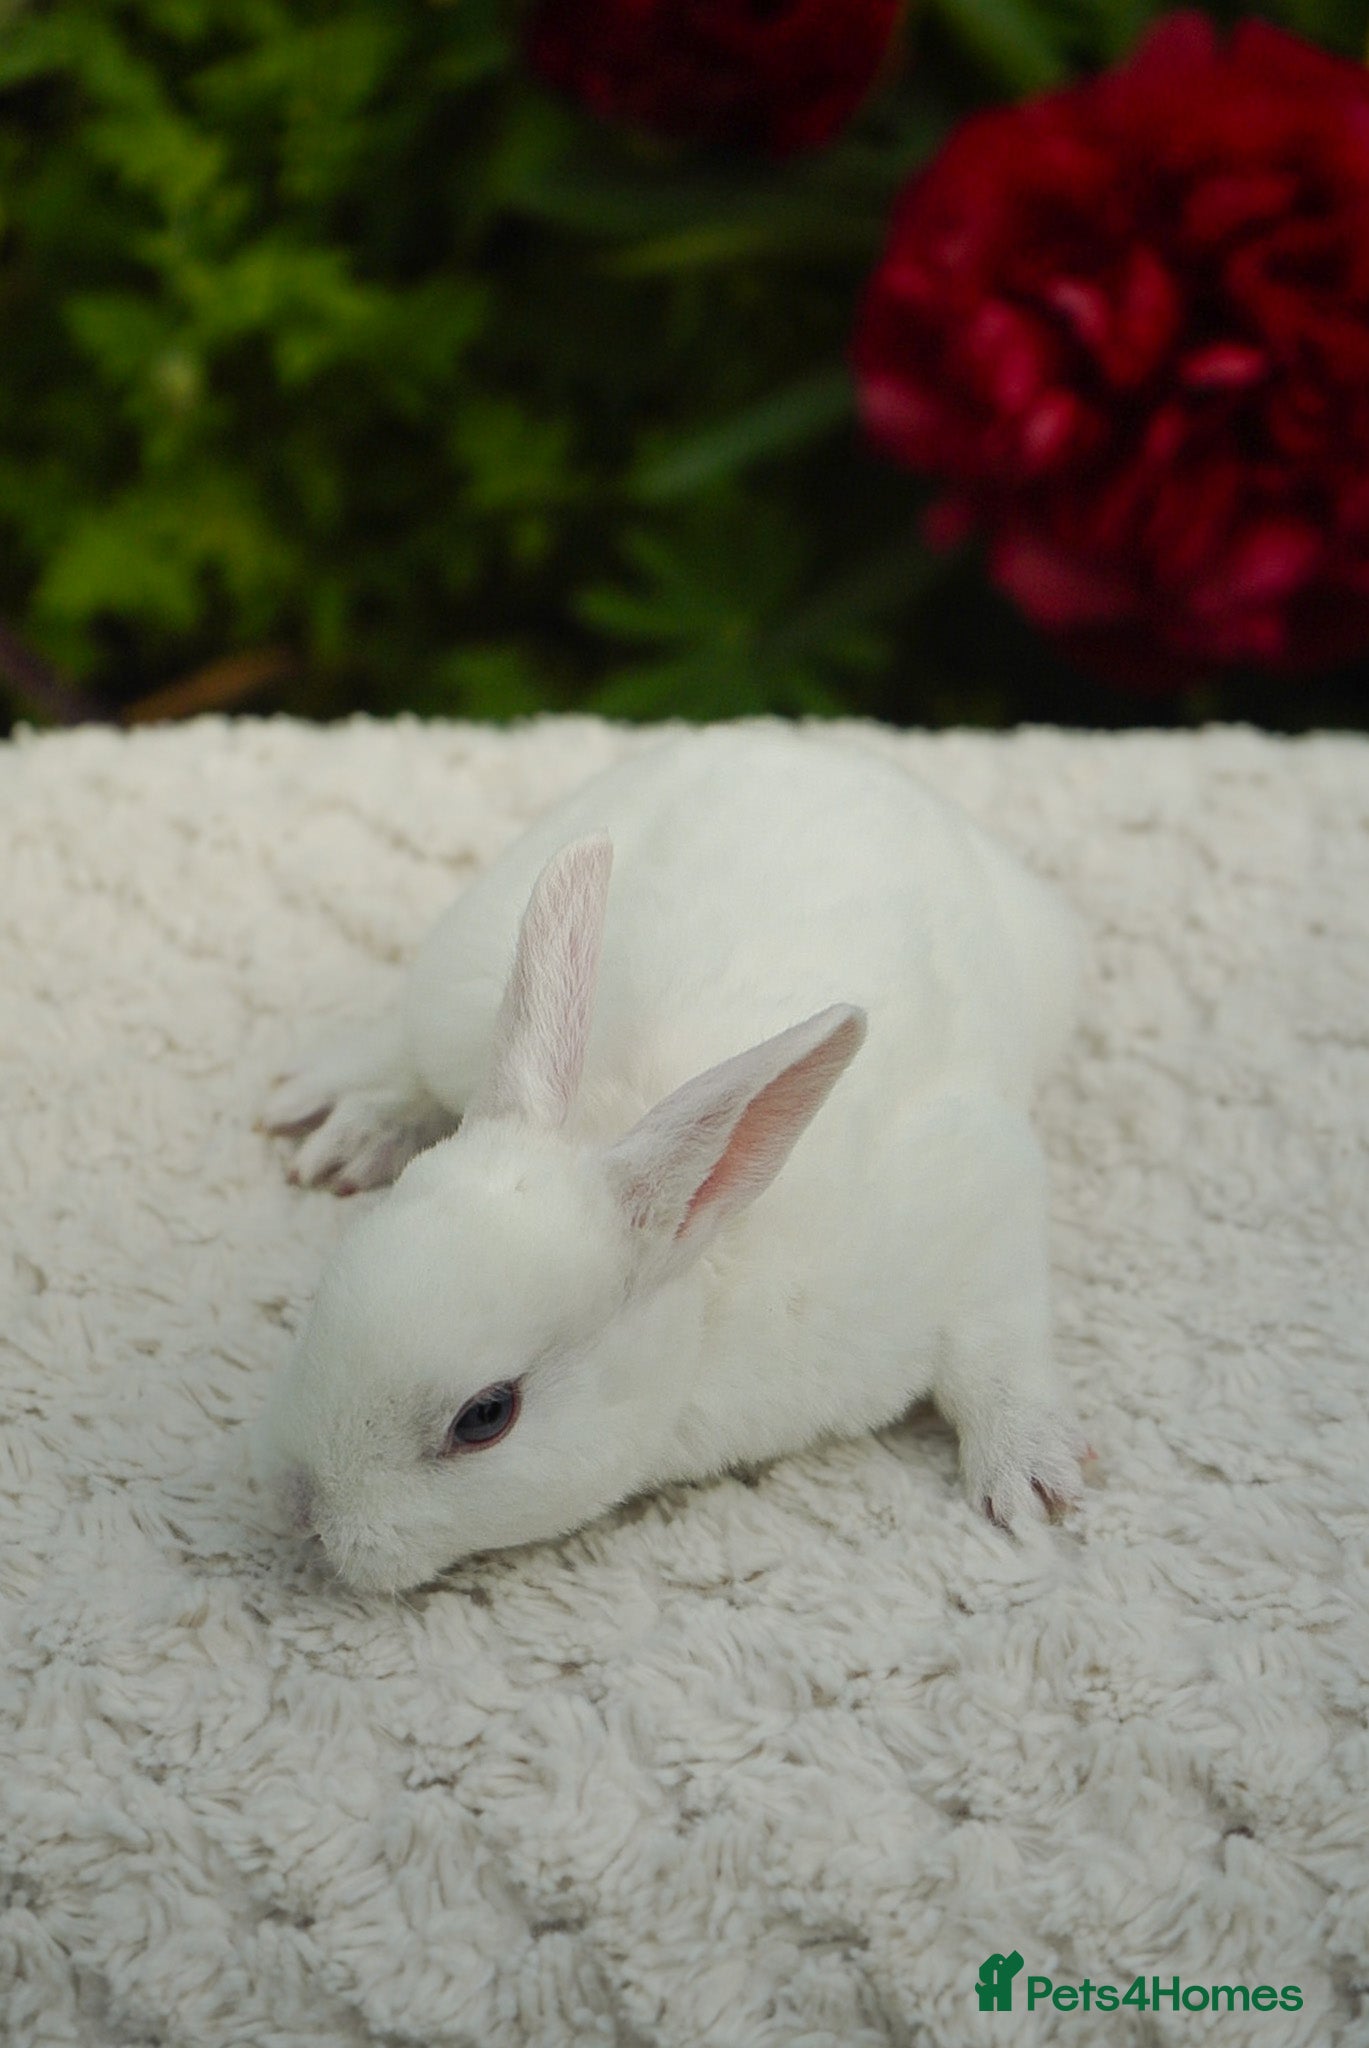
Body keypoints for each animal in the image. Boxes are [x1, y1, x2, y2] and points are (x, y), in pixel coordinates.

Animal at [256, 722, 1087, 1593]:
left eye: (486, 1416)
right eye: (321, 1297)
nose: (303, 1512)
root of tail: (809, 747)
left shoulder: (980, 1192)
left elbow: (997, 1342)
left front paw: (1028, 1478)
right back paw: (338, 1114)